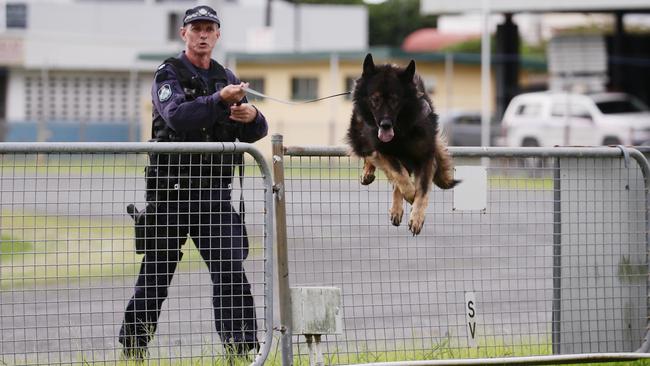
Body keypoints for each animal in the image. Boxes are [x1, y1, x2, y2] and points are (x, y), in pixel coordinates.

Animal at [344, 53, 456, 236]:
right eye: (375, 99)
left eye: (395, 100)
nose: (385, 125)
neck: (401, 130)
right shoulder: (383, 151)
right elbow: (400, 176)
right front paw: (410, 196)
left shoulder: (425, 155)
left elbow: (421, 188)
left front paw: (416, 217)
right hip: (360, 136)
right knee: (372, 155)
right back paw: (369, 173)